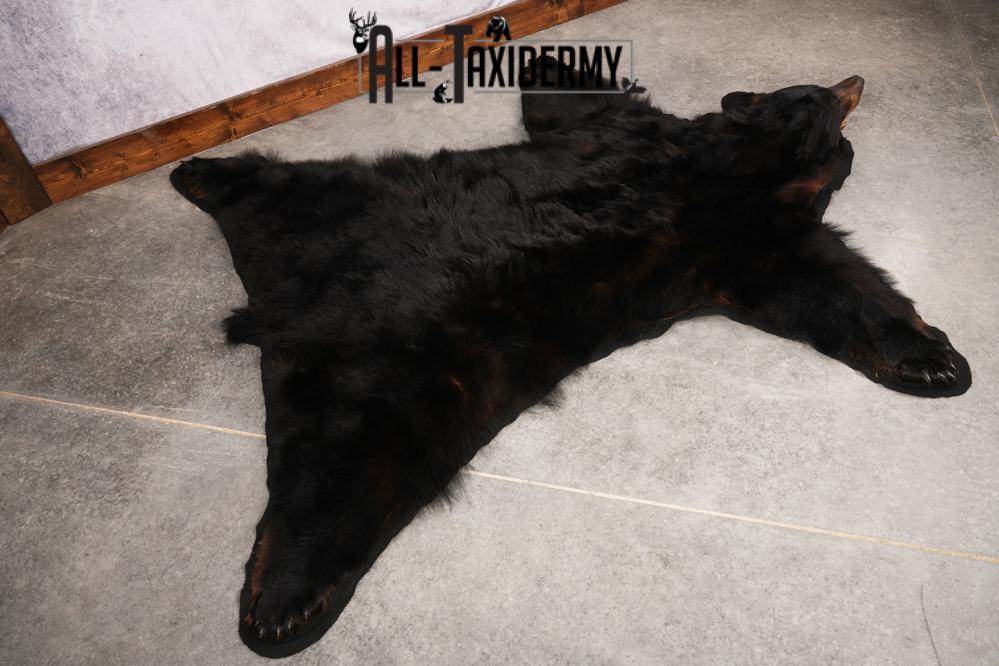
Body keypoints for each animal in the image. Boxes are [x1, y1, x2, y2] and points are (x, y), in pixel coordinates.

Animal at [169, 60, 971, 658]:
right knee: (344, 484)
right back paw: (287, 603)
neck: (742, 161)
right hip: (403, 381)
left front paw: (935, 362)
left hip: (337, 238)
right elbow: (829, 277)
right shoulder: (725, 207)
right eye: (819, 92)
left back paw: (197, 173)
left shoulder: (719, 216)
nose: (854, 79)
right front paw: (939, 359)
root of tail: (268, 311)